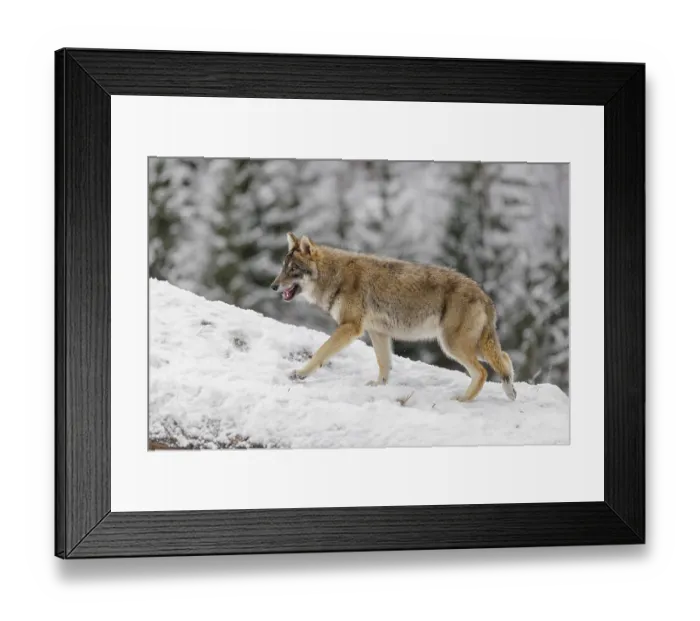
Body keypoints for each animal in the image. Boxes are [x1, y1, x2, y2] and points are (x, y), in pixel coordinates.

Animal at [271, 233, 516, 401]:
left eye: (293, 270)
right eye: (282, 268)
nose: (273, 286)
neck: (334, 276)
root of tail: (484, 295)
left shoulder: (350, 327)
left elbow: (321, 353)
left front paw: (300, 374)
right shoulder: (377, 332)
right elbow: (384, 363)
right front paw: (379, 386)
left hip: (453, 346)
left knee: (483, 372)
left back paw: (464, 399)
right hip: (469, 345)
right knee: (504, 358)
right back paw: (510, 391)